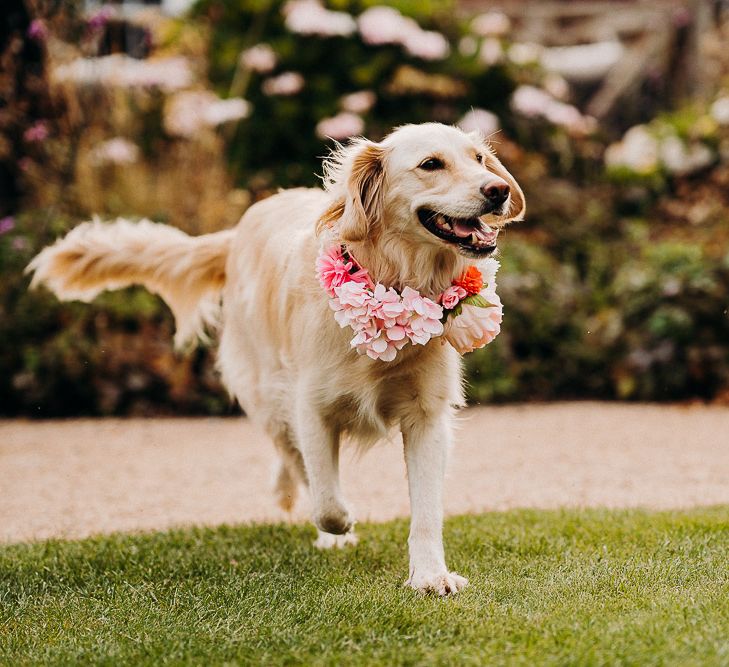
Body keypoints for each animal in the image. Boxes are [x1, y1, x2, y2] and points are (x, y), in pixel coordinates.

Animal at [28, 122, 524, 596]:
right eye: (431, 164)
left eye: (479, 159)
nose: (497, 190)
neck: (393, 275)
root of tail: (242, 226)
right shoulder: (311, 406)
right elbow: (326, 500)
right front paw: (342, 528)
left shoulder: (426, 416)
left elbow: (425, 510)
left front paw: (430, 576)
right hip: (265, 391)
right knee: (293, 457)